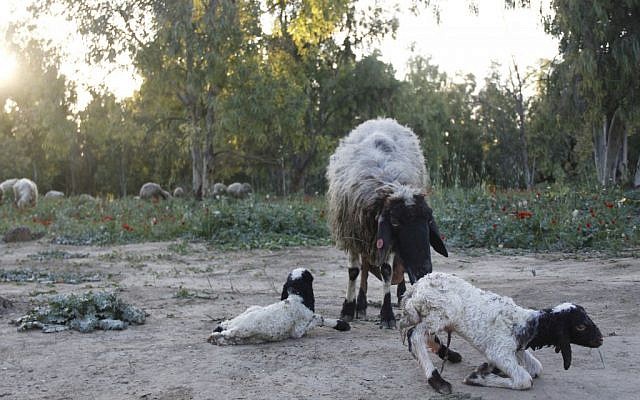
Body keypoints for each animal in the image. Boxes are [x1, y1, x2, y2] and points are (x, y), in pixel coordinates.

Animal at [208, 268, 350, 345]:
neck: (295, 297)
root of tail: (233, 326)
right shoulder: (298, 331)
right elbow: (317, 318)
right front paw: (340, 324)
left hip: (250, 311)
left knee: (223, 327)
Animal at [326, 118, 448, 329]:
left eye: (428, 220)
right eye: (395, 223)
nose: (423, 271)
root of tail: (381, 119)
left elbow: (387, 271)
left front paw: (387, 314)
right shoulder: (353, 233)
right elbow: (354, 272)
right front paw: (348, 309)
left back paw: (399, 295)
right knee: (365, 267)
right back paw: (361, 304)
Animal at [400, 272, 604, 394]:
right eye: (581, 326)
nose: (600, 339)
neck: (528, 324)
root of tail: (415, 289)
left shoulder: (517, 349)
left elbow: (536, 368)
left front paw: (486, 368)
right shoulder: (499, 351)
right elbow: (524, 379)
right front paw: (477, 377)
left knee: (423, 336)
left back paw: (450, 355)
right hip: (441, 314)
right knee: (415, 336)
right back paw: (437, 381)